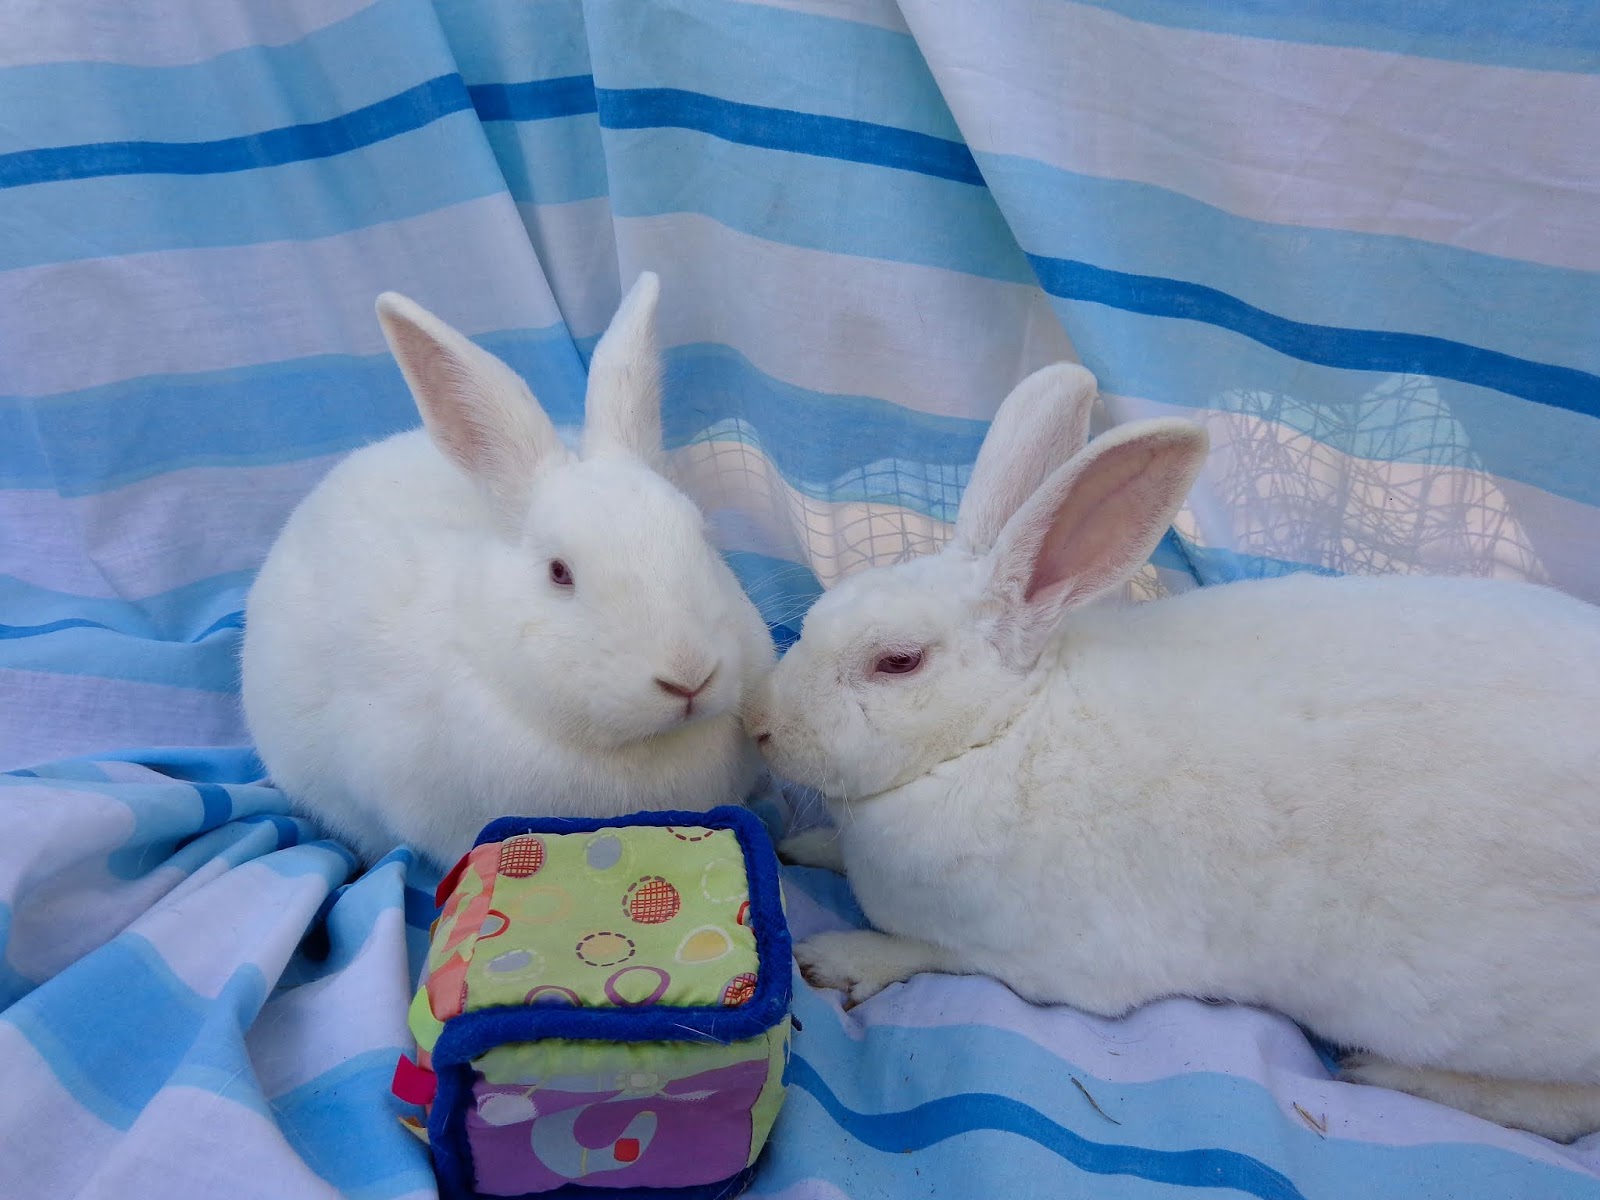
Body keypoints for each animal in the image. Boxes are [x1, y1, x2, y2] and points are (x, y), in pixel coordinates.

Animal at [745, 363, 1600, 1142]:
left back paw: (1389, 1074)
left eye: (898, 662)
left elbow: (923, 950)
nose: (760, 724)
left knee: (1569, 1107)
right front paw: (807, 844)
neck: (1008, 726)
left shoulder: (1044, 960)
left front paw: (837, 957)